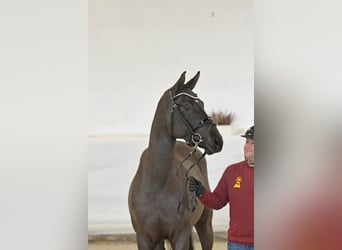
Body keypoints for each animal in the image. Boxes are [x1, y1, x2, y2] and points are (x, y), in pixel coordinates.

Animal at [127, 71, 223, 249]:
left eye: (202, 103)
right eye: (187, 106)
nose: (217, 140)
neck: (157, 184)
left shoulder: (180, 236)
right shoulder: (145, 238)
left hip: (205, 225)